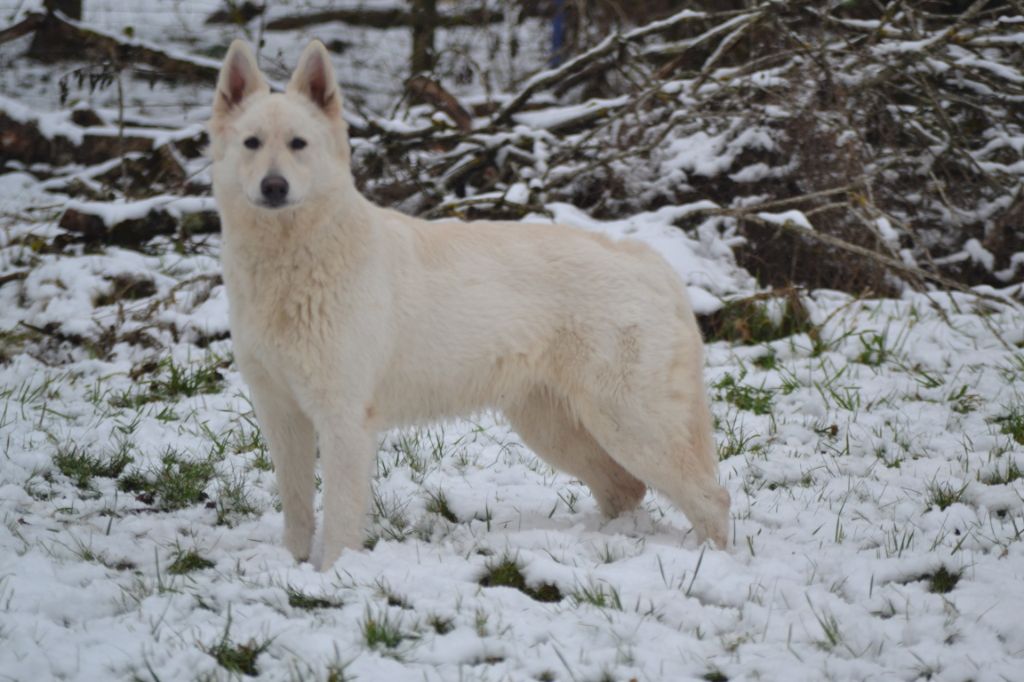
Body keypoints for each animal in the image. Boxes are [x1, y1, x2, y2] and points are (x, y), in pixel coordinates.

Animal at [211, 39, 733, 565]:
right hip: (555, 428)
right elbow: (297, 508)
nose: (274, 187)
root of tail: (650, 260)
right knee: (626, 488)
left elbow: (338, 517)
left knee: (710, 496)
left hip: (628, 423)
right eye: (252, 143)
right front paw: (293, 566)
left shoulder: (343, 418)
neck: (290, 261)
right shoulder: (281, 414)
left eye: (298, 144)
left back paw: (711, 559)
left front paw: (334, 573)